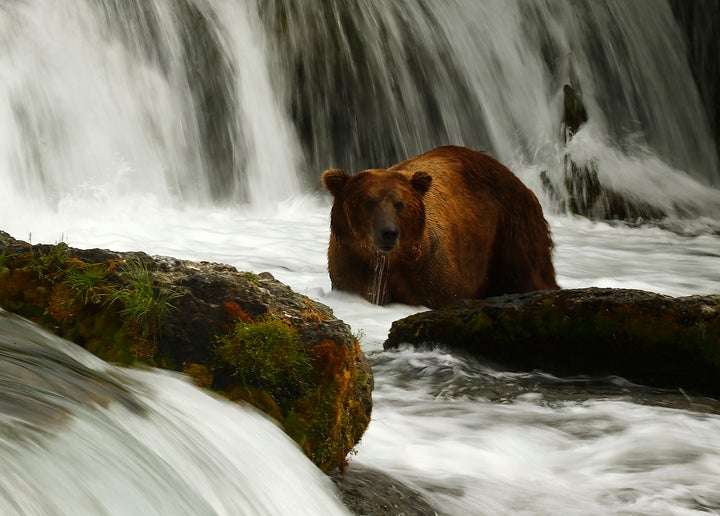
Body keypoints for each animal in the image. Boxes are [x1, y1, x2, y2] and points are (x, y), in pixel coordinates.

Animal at [324, 143, 560, 308]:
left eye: (400, 204)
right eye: (369, 201)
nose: (388, 233)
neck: (391, 262)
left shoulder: (432, 277)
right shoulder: (351, 267)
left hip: (512, 230)